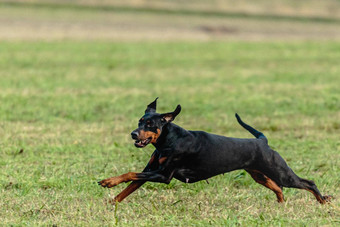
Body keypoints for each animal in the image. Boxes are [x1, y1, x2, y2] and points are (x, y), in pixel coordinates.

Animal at [98, 97, 332, 204]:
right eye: (139, 121)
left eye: (150, 124)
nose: (133, 134)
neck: (168, 140)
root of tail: (262, 141)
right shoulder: (150, 172)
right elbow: (128, 187)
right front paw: (111, 202)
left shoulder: (163, 176)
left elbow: (130, 174)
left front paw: (108, 181)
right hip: (259, 175)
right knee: (279, 189)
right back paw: (281, 204)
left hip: (280, 171)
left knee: (307, 183)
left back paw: (322, 200)